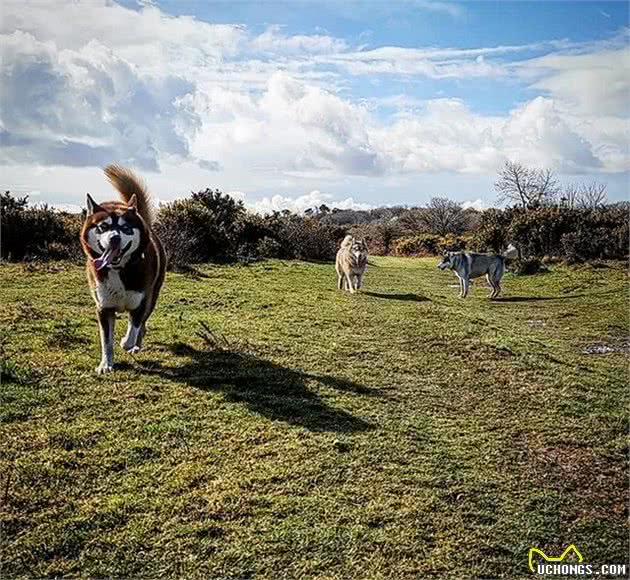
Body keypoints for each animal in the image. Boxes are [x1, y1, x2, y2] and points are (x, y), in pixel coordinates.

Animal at [80, 165, 167, 374]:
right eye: (103, 226)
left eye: (126, 228)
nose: (114, 238)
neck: (118, 269)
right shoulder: (103, 308)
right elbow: (106, 341)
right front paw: (106, 364)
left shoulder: (140, 303)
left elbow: (132, 331)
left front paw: (127, 343)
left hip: (153, 297)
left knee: (142, 325)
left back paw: (136, 345)